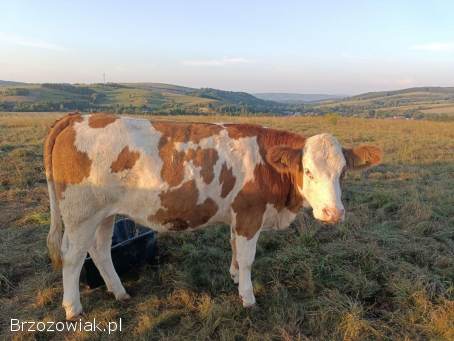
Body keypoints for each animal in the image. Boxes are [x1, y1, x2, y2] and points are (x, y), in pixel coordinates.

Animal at [44, 112, 382, 318]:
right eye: (308, 171)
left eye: (343, 173)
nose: (332, 213)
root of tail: (78, 117)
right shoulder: (249, 215)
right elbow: (247, 258)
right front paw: (247, 297)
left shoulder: (237, 216)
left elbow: (233, 248)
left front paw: (233, 276)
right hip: (80, 214)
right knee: (73, 258)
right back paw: (73, 308)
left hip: (105, 213)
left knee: (100, 251)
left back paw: (120, 292)